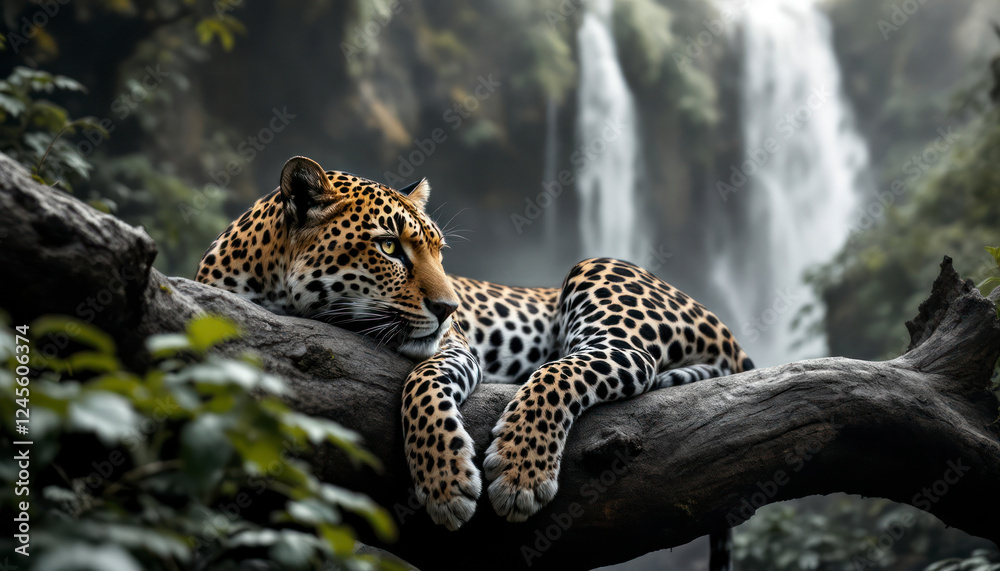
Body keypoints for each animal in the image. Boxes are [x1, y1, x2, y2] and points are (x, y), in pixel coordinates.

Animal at [196, 156, 754, 570]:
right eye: (388, 246)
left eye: (439, 251)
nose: (450, 308)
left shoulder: (454, 347)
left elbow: (421, 382)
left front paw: (446, 483)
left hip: (600, 272)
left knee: (579, 365)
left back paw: (521, 466)